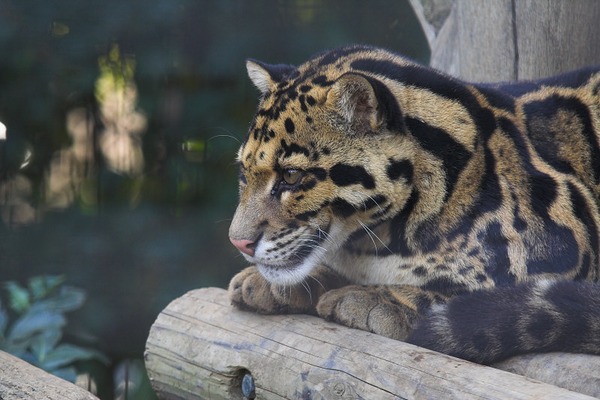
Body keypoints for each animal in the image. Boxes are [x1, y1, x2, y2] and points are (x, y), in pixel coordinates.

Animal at [226, 45, 600, 364]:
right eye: (243, 173)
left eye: (291, 176)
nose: (238, 242)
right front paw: (272, 283)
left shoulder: (564, 248)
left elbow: (468, 293)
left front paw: (378, 299)